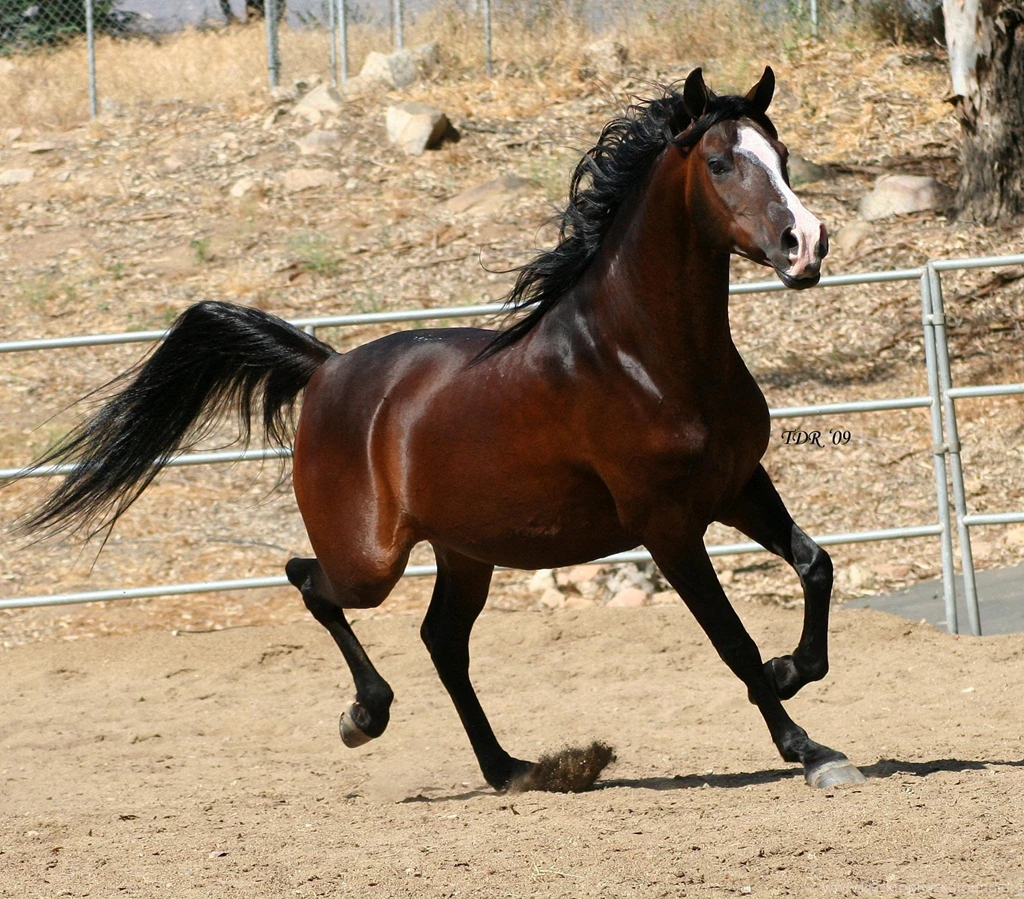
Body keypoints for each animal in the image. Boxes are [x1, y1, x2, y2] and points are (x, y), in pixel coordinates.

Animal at [21, 66, 863, 792]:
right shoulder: (667, 523)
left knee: (442, 641)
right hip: (371, 559)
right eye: (721, 161)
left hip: (466, 548)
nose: (806, 244)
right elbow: (732, 638)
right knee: (311, 582)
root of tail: (326, 368)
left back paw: (512, 767)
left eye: (783, 155)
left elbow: (816, 566)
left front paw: (794, 671)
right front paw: (811, 748)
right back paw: (365, 717)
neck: (645, 355)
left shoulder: (739, 486)